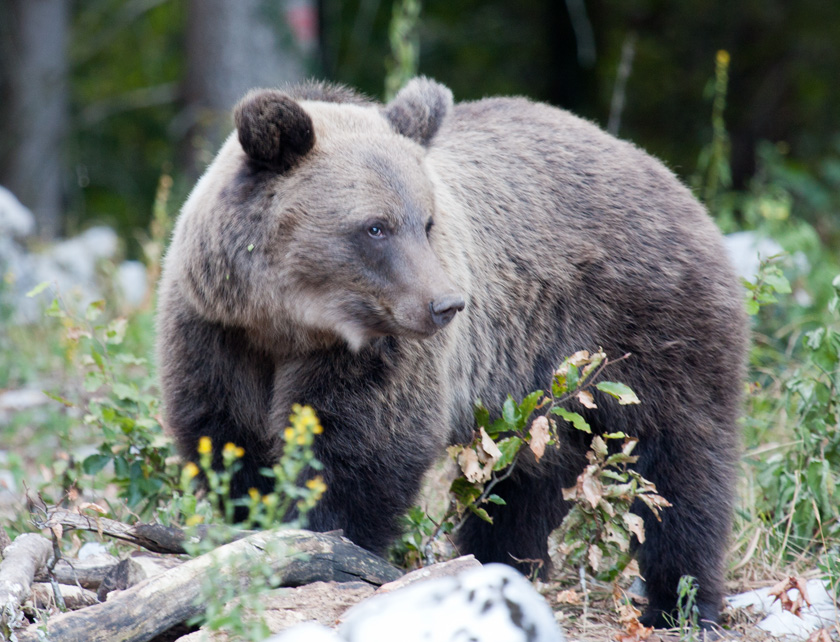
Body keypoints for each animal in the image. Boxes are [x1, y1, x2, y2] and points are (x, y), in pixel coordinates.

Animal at [158, 77, 748, 628]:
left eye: (426, 221)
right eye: (375, 226)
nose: (446, 304)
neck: (288, 327)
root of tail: (669, 177)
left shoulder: (376, 353)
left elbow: (364, 448)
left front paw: (325, 543)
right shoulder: (216, 335)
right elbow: (227, 440)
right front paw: (252, 528)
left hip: (644, 329)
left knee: (679, 463)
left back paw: (681, 601)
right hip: (541, 382)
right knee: (528, 477)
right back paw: (506, 562)